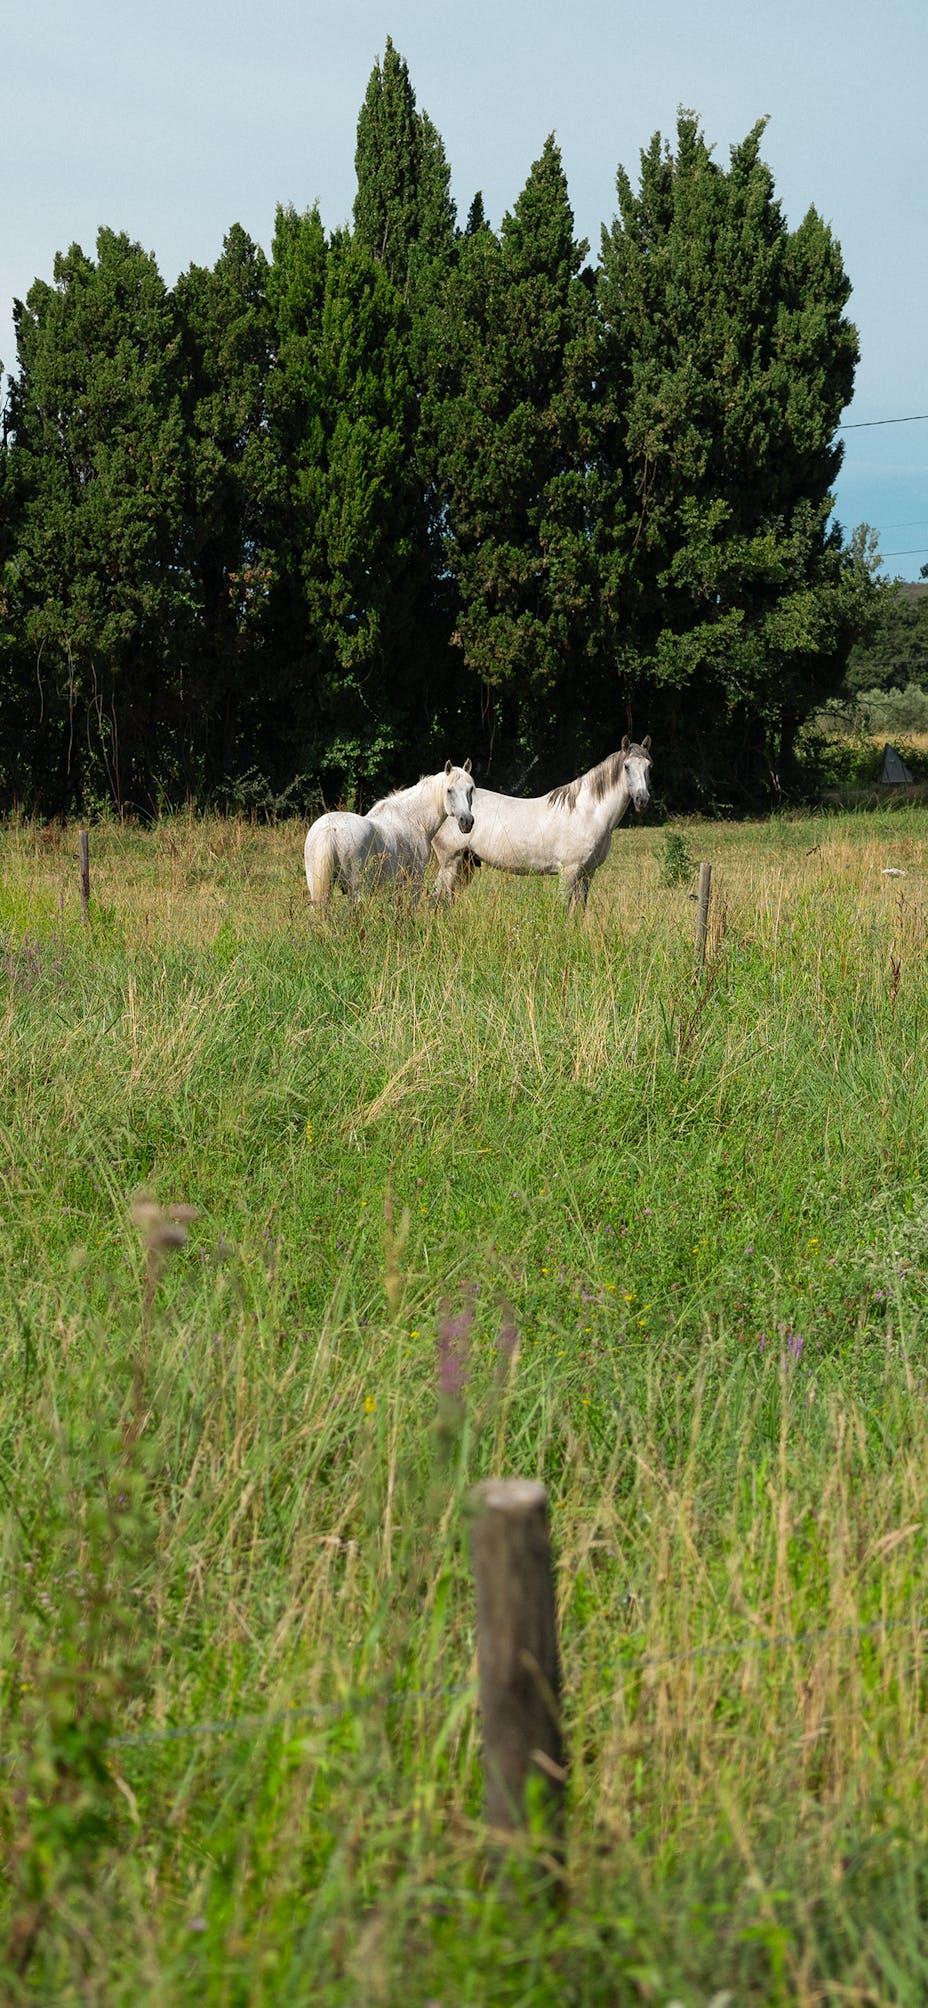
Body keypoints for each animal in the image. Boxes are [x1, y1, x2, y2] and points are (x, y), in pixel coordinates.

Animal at [305, 759, 474, 903]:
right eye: (449, 790)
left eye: (471, 789)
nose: (467, 822)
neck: (412, 818)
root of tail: (330, 828)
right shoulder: (415, 880)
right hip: (355, 890)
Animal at [429, 738, 650, 911]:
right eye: (627, 767)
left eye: (649, 766)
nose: (642, 800)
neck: (588, 813)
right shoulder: (569, 871)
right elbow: (565, 909)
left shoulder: (588, 873)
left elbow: (579, 910)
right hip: (451, 862)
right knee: (438, 899)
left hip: (466, 864)